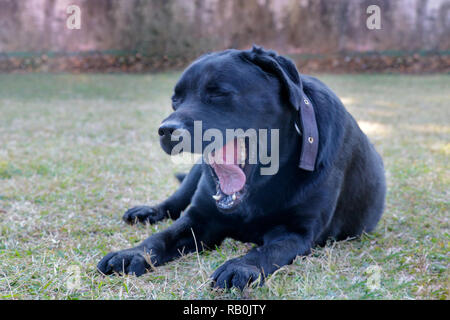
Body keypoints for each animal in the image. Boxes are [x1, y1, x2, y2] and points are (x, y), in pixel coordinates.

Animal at [96, 47, 384, 290]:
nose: (167, 130)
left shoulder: (298, 232)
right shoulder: (200, 218)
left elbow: (267, 251)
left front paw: (242, 266)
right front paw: (132, 253)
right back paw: (148, 211)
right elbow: (162, 236)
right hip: (195, 174)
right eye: (175, 100)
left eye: (218, 93)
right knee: (174, 201)